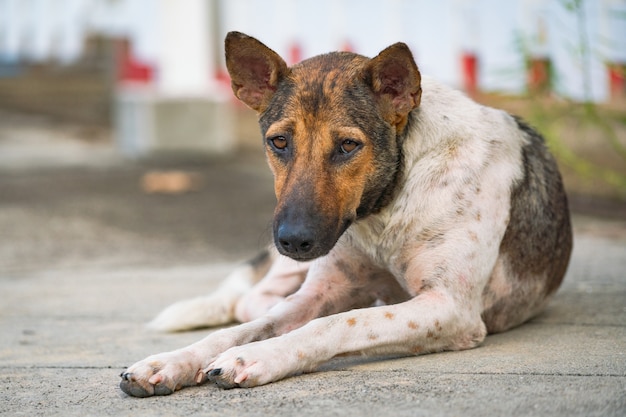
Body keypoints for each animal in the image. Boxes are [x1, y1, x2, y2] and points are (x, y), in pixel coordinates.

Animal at [117, 30, 572, 394]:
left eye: (348, 146)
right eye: (279, 142)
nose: (292, 240)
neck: (384, 209)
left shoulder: (451, 307)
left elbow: (337, 323)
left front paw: (255, 356)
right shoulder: (320, 290)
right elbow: (234, 331)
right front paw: (170, 361)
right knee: (247, 300)